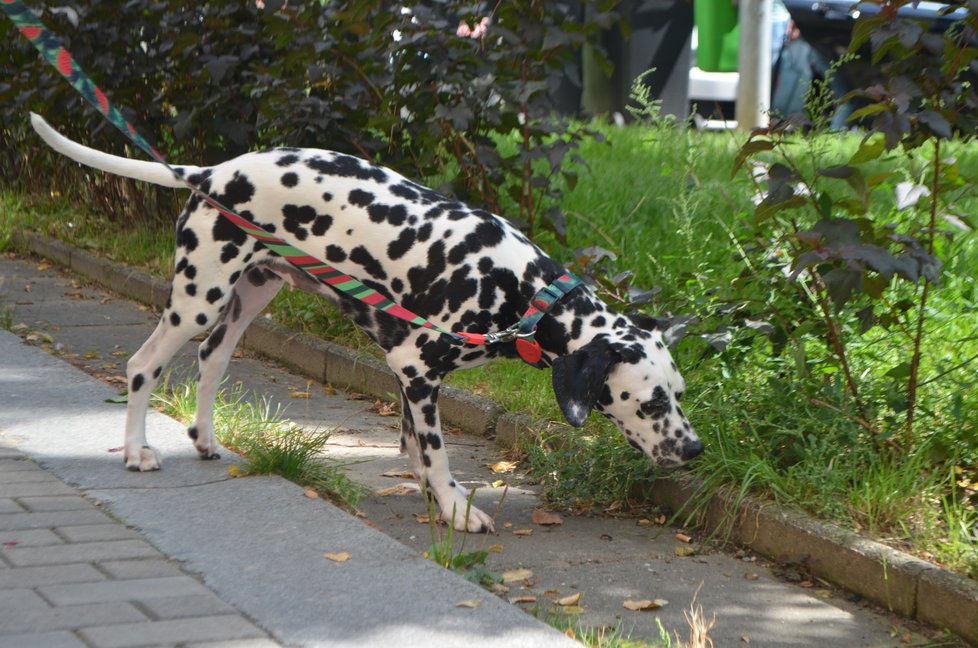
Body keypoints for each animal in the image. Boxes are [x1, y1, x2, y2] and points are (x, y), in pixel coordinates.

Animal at [32, 114, 700, 536]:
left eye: (680, 395)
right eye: (648, 402)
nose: (693, 448)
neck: (523, 294)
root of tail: (210, 172)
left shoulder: (414, 378)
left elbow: (415, 448)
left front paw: (437, 499)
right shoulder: (415, 368)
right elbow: (435, 453)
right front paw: (457, 510)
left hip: (250, 296)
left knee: (211, 359)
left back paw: (205, 439)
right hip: (199, 297)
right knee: (142, 365)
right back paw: (137, 452)